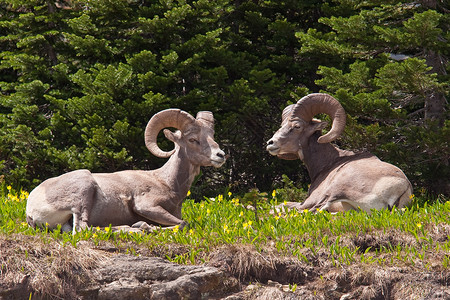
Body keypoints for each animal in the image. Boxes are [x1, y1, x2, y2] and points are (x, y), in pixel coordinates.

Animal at [26, 109, 227, 233]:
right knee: (83, 229)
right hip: (83, 192)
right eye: (193, 139)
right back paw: (139, 228)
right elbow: (184, 223)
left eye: (212, 136)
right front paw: (147, 226)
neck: (166, 183)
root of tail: (30, 210)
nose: (221, 155)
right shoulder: (146, 206)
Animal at [268, 92, 412, 212]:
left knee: (313, 211)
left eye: (297, 126)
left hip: (335, 190)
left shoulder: (310, 200)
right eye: (282, 125)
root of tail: (402, 187)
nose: (270, 143)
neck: (327, 164)